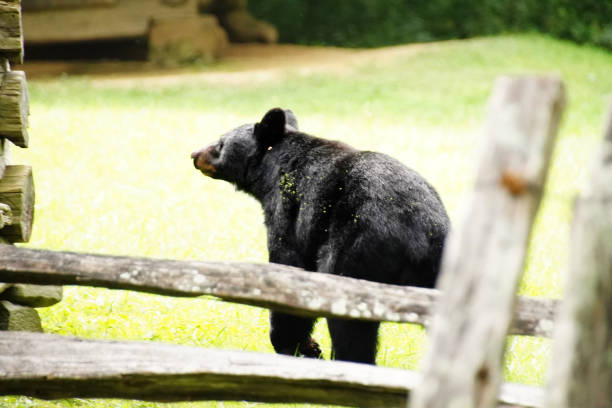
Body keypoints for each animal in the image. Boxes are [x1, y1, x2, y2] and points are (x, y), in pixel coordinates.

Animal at [191, 107, 450, 364]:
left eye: (221, 143)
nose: (194, 154)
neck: (273, 167)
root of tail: (420, 235)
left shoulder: (288, 213)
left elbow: (289, 269)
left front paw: (299, 346)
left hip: (355, 248)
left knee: (349, 325)